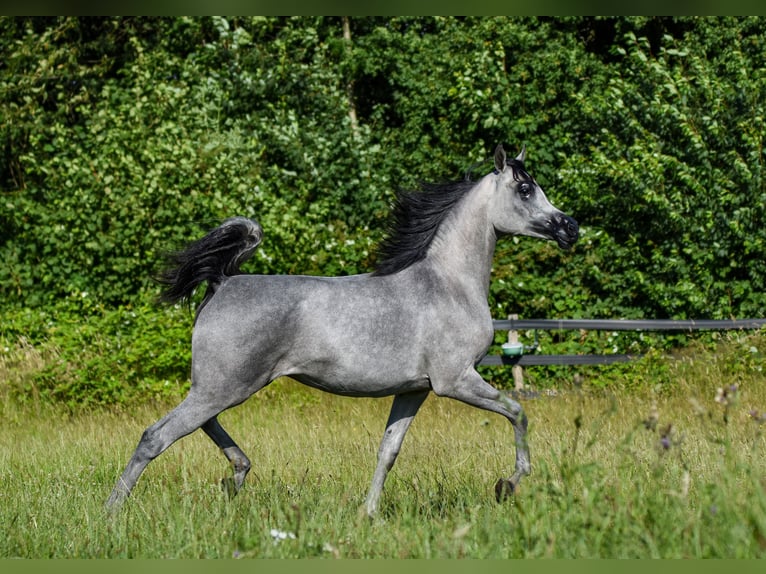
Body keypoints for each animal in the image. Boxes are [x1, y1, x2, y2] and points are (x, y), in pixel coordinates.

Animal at [105, 145, 580, 516]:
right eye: (525, 189)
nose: (570, 227)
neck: (448, 284)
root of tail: (223, 282)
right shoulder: (456, 380)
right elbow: (518, 413)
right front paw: (508, 484)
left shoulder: (415, 390)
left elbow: (388, 451)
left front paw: (367, 513)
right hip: (224, 386)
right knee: (157, 436)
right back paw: (113, 512)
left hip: (222, 386)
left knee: (201, 425)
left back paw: (237, 473)